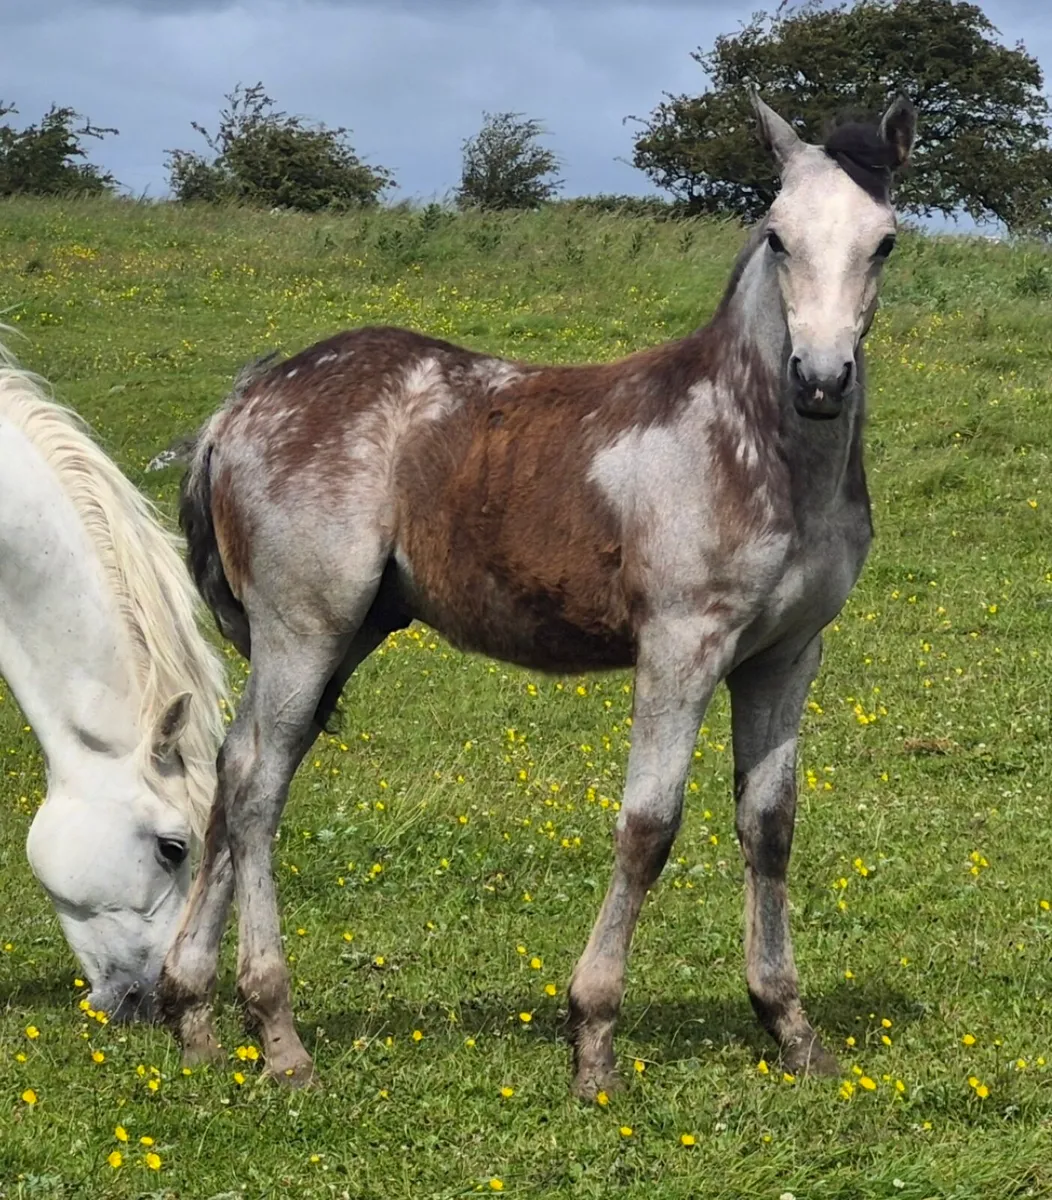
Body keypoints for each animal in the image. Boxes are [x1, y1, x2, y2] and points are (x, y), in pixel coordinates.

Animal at [157, 90, 916, 1094]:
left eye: (885, 242)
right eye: (777, 235)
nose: (822, 380)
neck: (758, 447)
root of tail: (242, 404)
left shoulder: (786, 656)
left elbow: (770, 825)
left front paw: (791, 1029)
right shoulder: (682, 646)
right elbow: (649, 827)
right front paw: (592, 1040)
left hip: (345, 634)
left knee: (230, 772)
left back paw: (193, 1016)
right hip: (304, 629)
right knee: (254, 788)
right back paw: (278, 1034)